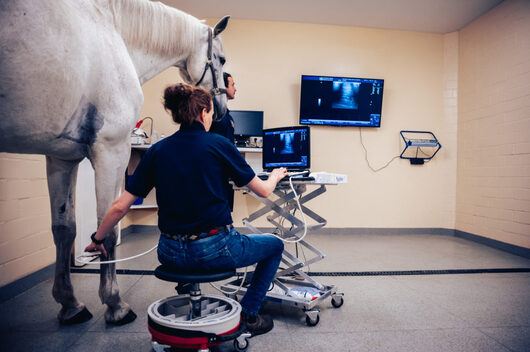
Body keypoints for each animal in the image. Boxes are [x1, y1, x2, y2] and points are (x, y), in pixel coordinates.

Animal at [2, 0, 229, 324]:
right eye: (221, 59)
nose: (222, 109)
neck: (117, 33)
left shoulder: (62, 157)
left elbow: (64, 229)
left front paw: (70, 304)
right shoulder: (112, 149)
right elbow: (107, 228)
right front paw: (115, 304)